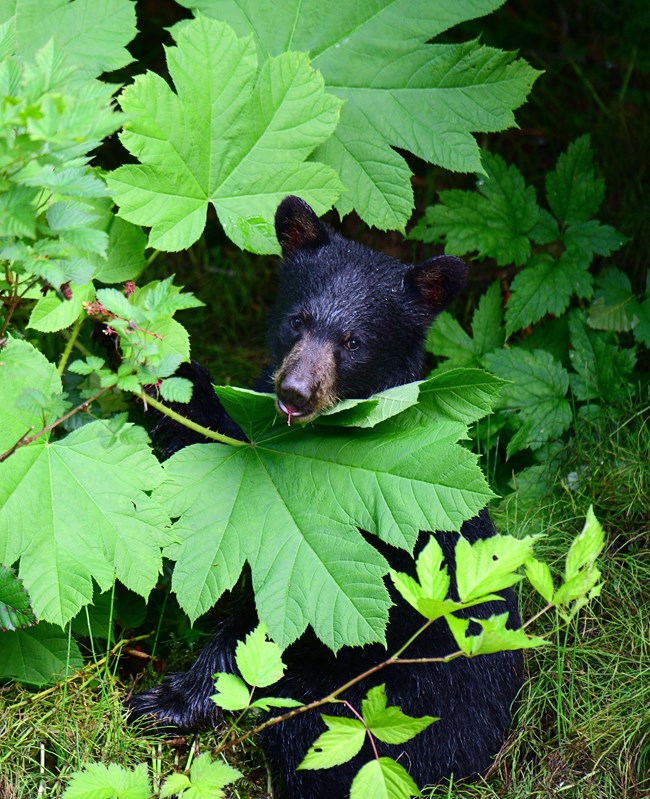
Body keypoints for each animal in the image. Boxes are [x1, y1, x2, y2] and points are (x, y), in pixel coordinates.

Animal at [129, 196, 523, 798]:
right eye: (299, 319)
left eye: (354, 342)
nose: (294, 392)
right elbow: (207, 424)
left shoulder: (370, 554)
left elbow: (266, 628)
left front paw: (165, 701)